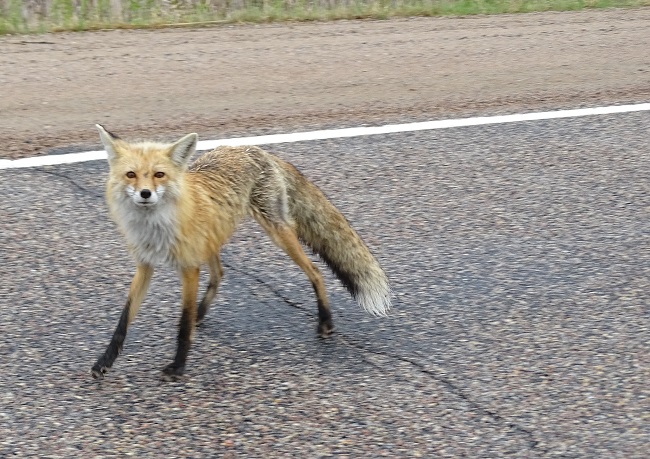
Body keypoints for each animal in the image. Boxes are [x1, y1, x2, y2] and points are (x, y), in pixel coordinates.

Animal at [90, 125, 390, 380]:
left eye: (158, 175)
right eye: (131, 174)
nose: (145, 194)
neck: (155, 228)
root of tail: (253, 149)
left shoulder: (189, 268)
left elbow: (183, 325)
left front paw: (178, 366)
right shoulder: (145, 265)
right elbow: (123, 322)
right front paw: (104, 362)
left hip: (277, 231)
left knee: (315, 272)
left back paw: (325, 322)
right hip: (214, 237)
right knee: (220, 274)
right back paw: (202, 314)